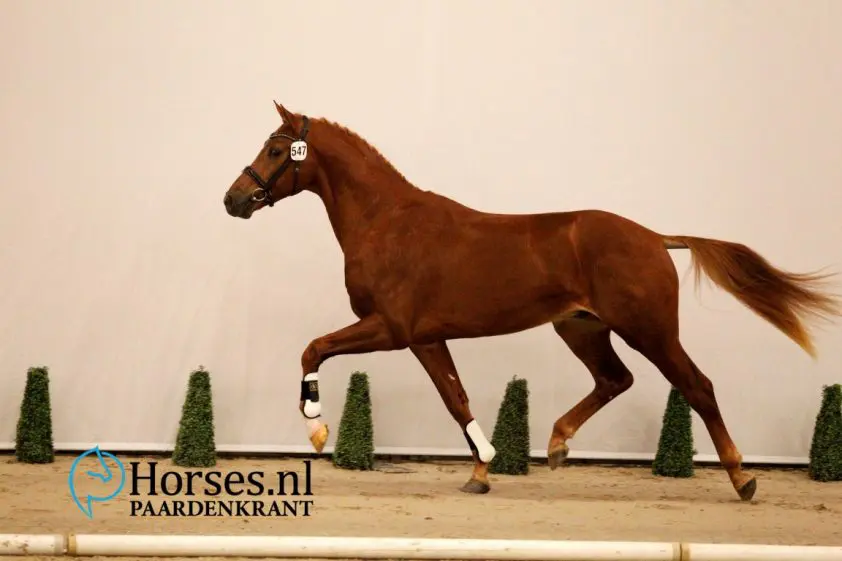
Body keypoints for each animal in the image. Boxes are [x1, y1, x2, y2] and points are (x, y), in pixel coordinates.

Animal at [223, 101, 841, 501]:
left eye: (275, 149)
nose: (234, 199)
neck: (387, 222)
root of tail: (654, 237)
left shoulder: (392, 329)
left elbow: (314, 348)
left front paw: (316, 428)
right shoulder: (426, 338)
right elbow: (457, 400)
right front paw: (482, 471)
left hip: (650, 330)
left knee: (698, 387)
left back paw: (743, 478)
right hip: (581, 328)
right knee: (615, 379)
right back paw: (559, 444)